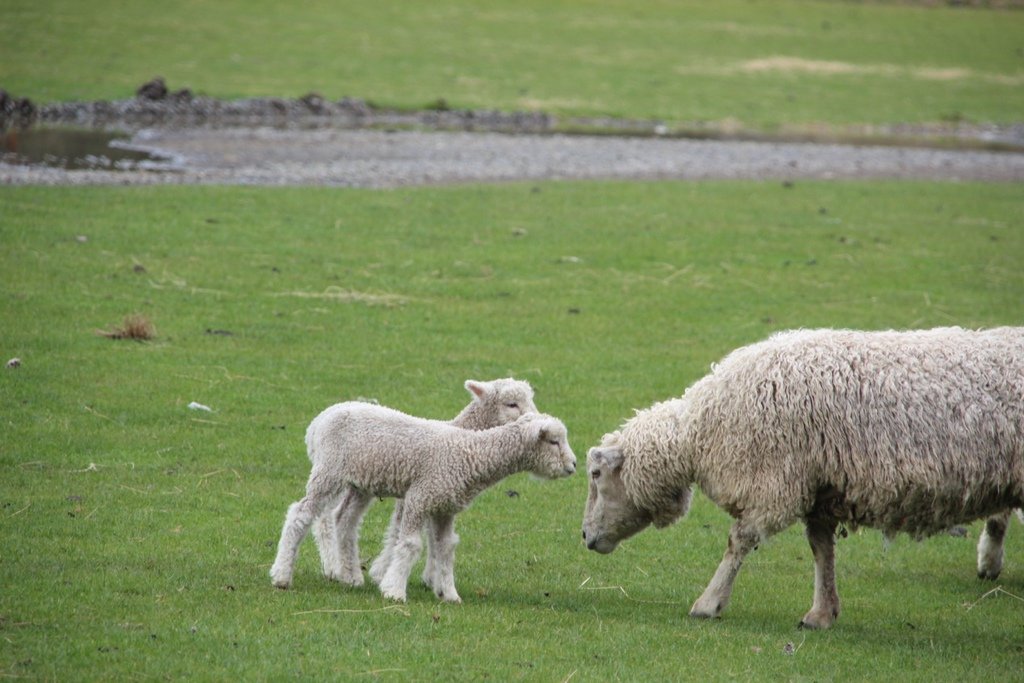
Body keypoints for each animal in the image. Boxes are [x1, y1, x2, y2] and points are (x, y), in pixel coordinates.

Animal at [272, 409, 577, 602]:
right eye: (553, 441)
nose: (573, 465)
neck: (469, 453)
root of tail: (318, 421)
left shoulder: (445, 506)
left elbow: (445, 548)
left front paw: (449, 594)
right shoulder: (420, 497)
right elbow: (410, 545)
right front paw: (394, 590)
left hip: (360, 483)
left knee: (345, 520)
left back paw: (351, 577)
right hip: (329, 471)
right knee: (299, 514)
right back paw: (282, 575)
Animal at [309, 378, 540, 581]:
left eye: (531, 399)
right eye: (511, 404)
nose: (537, 420)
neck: (464, 433)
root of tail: (317, 422)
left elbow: (431, 534)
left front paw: (430, 575)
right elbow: (400, 530)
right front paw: (383, 571)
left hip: (357, 483)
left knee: (334, 516)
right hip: (332, 471)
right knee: (323, 518)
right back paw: (333, 567)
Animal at [585, 327, 1024, 626]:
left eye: (596, 473)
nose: (585, 536)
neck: (700, 431)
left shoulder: (774, 483)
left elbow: (738, 542)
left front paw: (708, 604)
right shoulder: (819, 487)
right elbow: (821, 549)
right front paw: (822, 612)